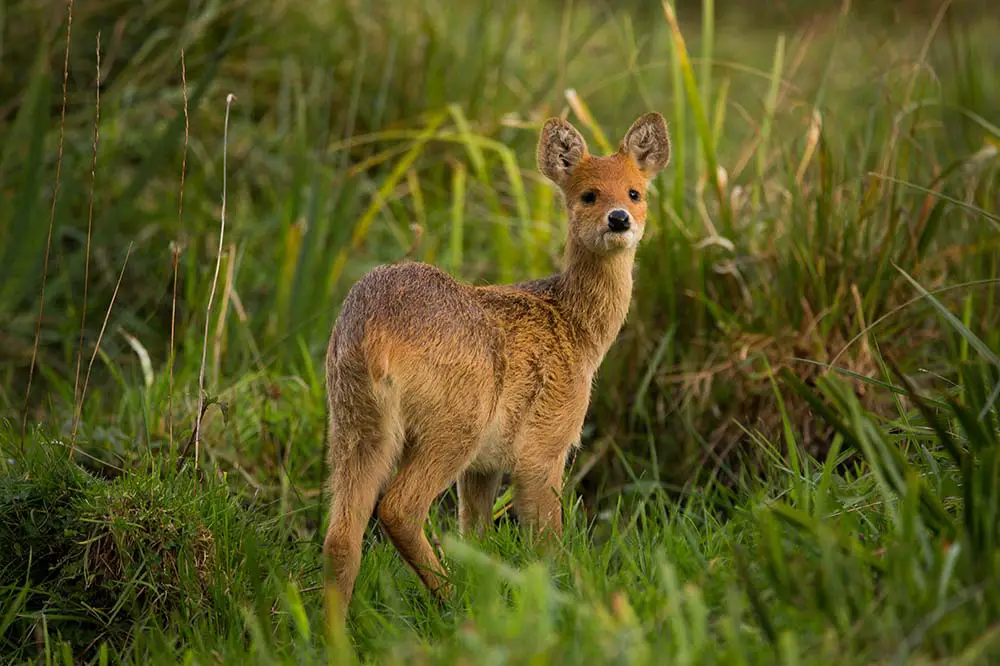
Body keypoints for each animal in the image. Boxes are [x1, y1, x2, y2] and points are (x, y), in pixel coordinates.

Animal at [324, 109, 672, 612]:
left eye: (635, 191)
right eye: (587, 194)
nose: (620, 219)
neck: (576, 328)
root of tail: (373, 330)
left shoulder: (484, 467)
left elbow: (475, 533)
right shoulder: (544, 446)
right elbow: (547, 542)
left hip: (353, 423)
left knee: (340, 536)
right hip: (454, 423)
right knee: (399, 507)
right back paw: (452, 601)